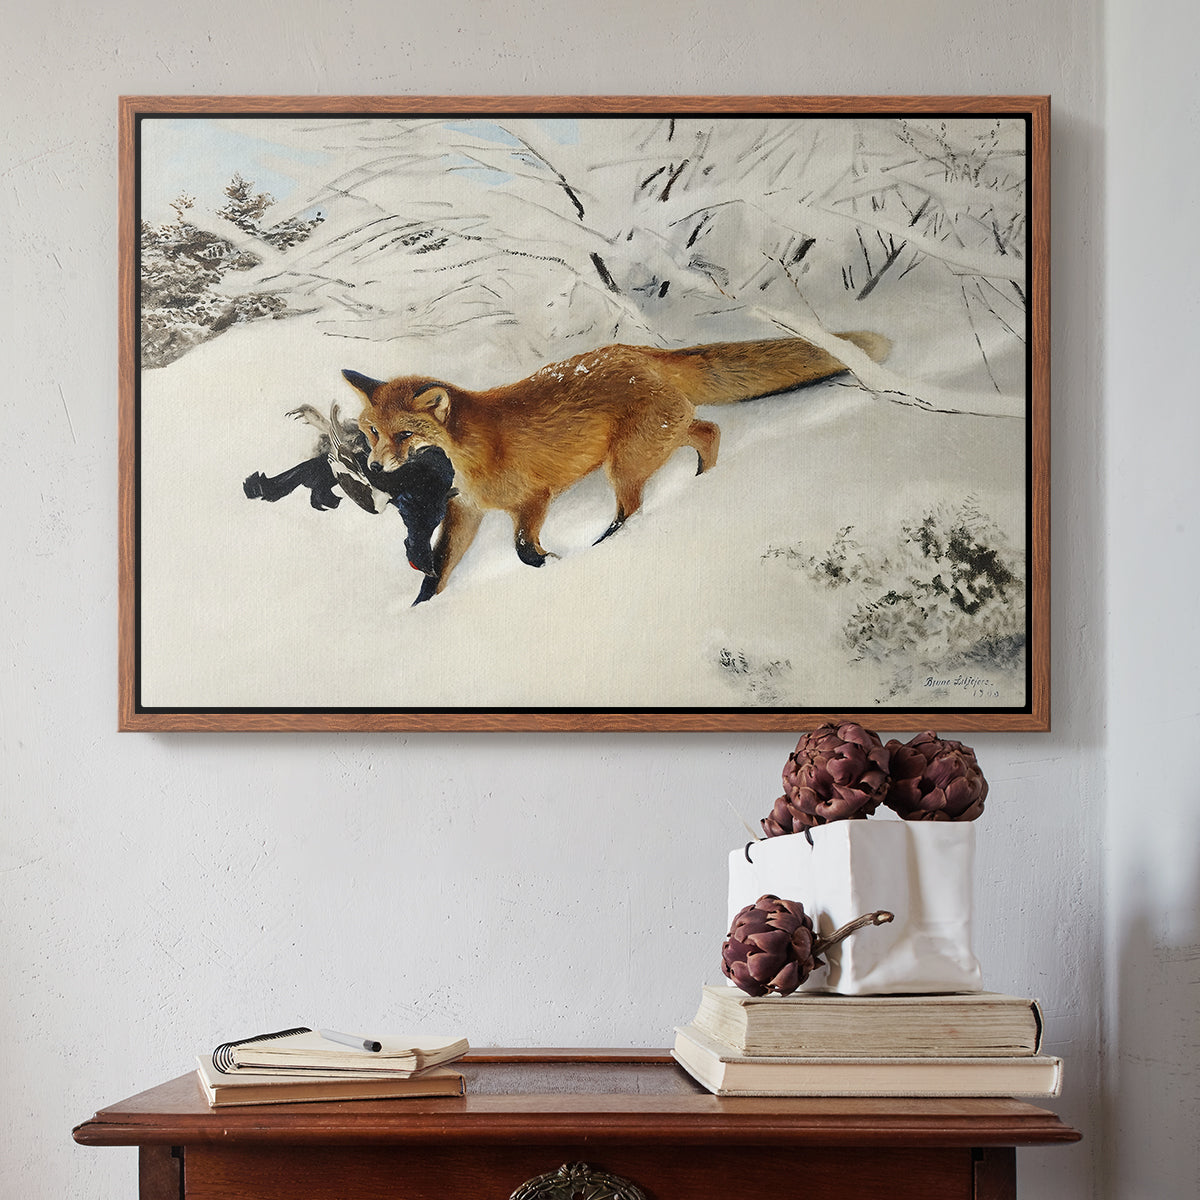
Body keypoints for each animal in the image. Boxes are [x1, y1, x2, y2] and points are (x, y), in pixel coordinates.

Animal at [343, 331, 891, 603]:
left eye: (404, 435)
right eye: (372, 431)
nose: (375, 465)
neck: (472, 453)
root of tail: (640, 352)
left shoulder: (533, 499)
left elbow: (522, 550)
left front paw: (553, 564)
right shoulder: (466, 511)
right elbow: (438, 569)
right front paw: (421, 610)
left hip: (624, 464)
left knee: (634, 506)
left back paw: (610, 543)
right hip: (655, 442)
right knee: (709, 430)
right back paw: (702, 481)